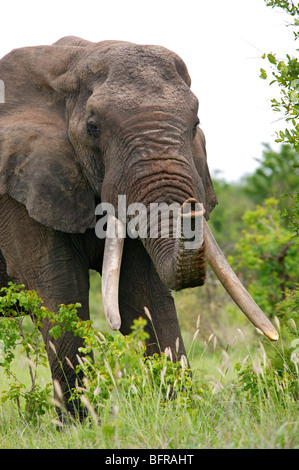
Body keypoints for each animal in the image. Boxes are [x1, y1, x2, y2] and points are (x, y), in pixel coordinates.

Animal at [0, 35, 278, 418]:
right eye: (93, 128)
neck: (67, 66)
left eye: (195, 123)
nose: (191, 207)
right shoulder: (20, 187)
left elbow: (143, 293)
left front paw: (181, 415)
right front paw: (79, 425)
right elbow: (59, 289)